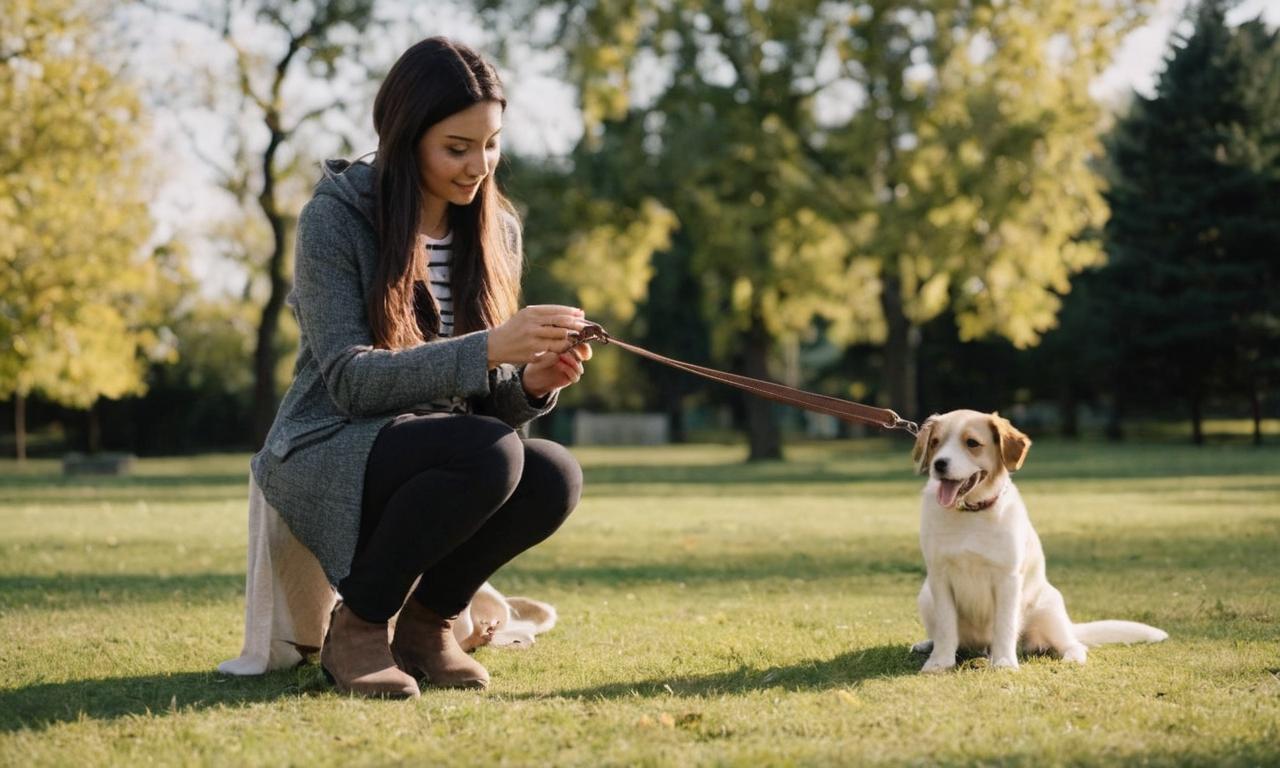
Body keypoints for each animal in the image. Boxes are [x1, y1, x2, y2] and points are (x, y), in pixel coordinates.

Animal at [906, 407, 1167, 670]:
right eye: (935, 442)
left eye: (972, 443)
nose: (939, 464)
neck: (970, 514)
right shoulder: (939, 576)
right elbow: (946, 627)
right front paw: (939, 662)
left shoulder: (1008, 578)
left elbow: (1004, 625)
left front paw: (1003, 662)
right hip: (925, 597)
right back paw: (929, 645)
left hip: (1049, 609)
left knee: (1074, 644)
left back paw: (1070, 657)